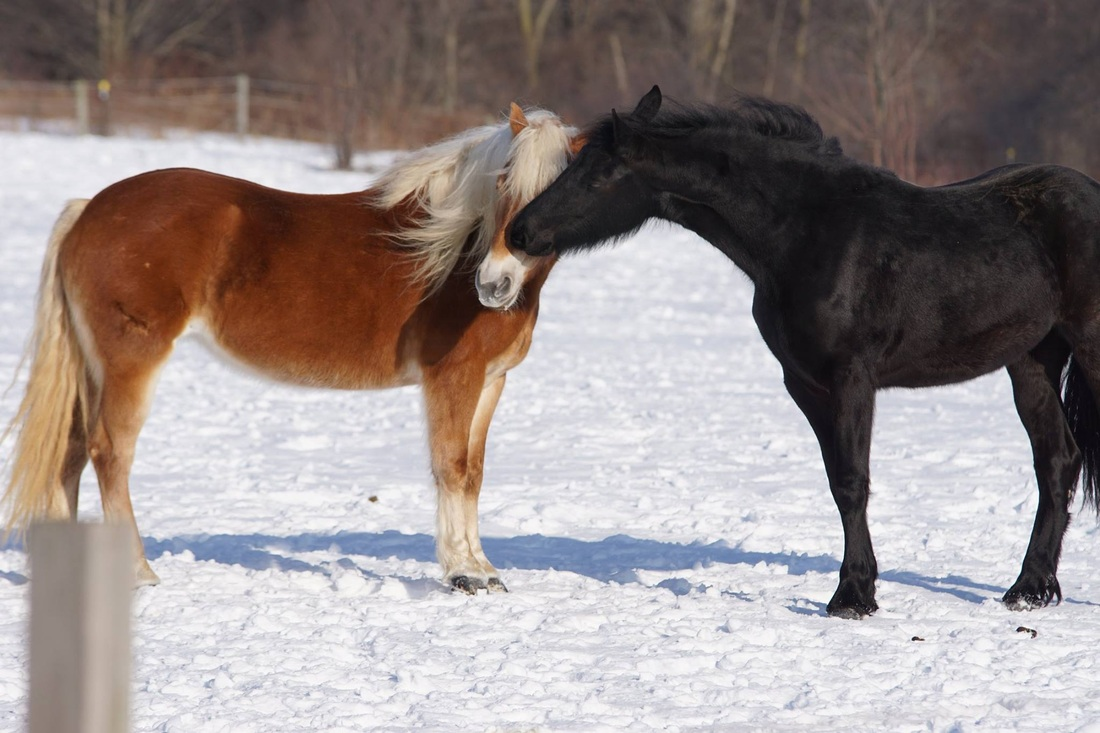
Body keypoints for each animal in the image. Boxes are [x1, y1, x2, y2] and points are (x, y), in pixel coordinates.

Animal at [2, 103, 576, 594]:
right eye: (501, 184)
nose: (494, 285)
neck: (455, 250)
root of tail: (90, 210)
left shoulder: (491, 381)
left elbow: (474, 473)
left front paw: (483, 568)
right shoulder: (452, 377)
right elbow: (451, 467)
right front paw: (464, 574)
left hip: (92, 368)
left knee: (70, 453)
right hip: (131, 361)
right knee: (110, 453)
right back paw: (139, 572)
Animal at [508, 85, 1100, 618]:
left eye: (599, 175)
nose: (520, 231)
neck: (805, 235)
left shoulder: (852, 380)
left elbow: (854, 481)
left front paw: (853, 597)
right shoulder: (806, 384)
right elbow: (837, 483)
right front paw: (856, 588)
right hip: (1031, 360)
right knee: (1057, 460)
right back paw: (1029, 589)